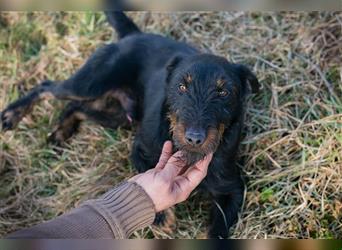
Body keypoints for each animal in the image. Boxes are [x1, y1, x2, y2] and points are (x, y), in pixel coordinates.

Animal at [0, 11, 260, 238]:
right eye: (181, 86)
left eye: (224, 92)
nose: (194, 138)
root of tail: (134, 35)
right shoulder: (139, 151)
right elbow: (148, 175)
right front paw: (162, 216)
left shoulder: (232, 189)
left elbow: (219, 229)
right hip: (90, 84)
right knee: (47, 87)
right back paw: (12, 115)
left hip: (118, 115)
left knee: (76, 108)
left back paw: (62, 131)